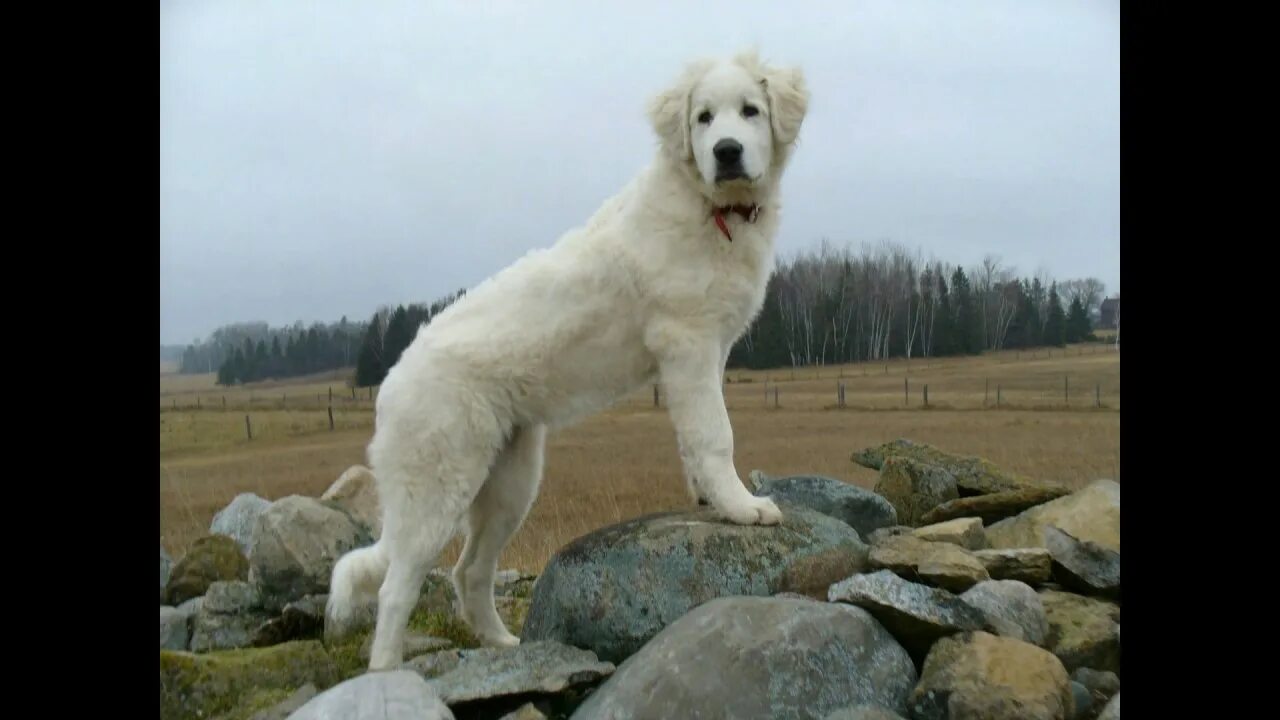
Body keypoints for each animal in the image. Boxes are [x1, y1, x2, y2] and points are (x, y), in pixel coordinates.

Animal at [325, 49, 814, 666]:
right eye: (703, 118)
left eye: (750, 110)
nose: (726, 152)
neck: (711, 209)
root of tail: (391, 382)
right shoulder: (688, 342)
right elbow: (714, 434)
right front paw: (743, 507)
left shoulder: (705, 354)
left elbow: (695, 436)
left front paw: (709, 497)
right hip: (437, 488)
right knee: (395, 589)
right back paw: (389, 671)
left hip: (510, 484)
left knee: (468, 572)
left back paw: (503, 644)